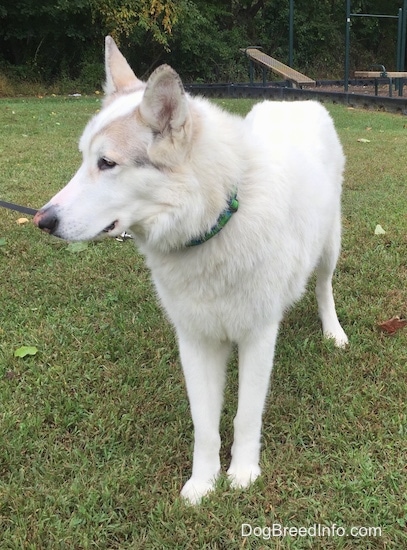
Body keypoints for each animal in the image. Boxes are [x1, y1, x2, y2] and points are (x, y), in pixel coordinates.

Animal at [33, 36, 350, 506]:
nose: (42, 220)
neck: (216, 221)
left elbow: (245, 417)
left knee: (324, 287)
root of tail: (295, 102)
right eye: (84, 159)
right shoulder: (195, 342)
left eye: (106, 163)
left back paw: (333, 332)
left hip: (330, 245)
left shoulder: (257, 338)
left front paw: (242, 474)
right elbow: (205, 426)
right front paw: (203, 483)